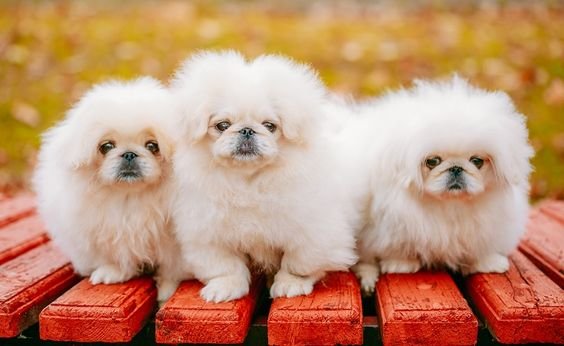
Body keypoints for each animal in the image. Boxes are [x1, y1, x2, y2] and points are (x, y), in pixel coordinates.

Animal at [33, 77, 185, 302]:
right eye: (106, 146)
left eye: (152, 146)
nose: (129, 154)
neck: (129, 198)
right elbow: (115, 255)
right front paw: (112, 272)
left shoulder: (173, 247)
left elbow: (170, 268)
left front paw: (167, 290)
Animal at [171, 51, 356, 302]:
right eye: (222, 125)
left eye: (269, 126)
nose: (247, 130)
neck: (249, 184)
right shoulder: (209, 235)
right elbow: (226, 267)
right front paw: (225, 288)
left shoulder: (312, 232)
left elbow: (297, 264)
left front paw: (291, 284)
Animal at [346, 77, 536, 294]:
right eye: (432, 161)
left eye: (477, 161)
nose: (456, 168)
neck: (450, 205)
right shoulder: (394, 224)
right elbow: (398, 245)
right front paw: (400, 263)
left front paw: (488, 263)